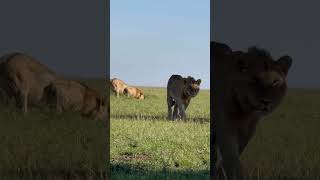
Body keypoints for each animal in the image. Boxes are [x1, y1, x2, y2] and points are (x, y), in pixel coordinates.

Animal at [212, 41, 292, 180]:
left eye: (275, 82)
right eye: (255, 79)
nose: (266, 101)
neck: (246, 111)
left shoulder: (248, 130)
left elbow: (236, 152)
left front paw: (220, 174)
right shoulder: (224, 124)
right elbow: (231, 154)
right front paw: (234, 175)